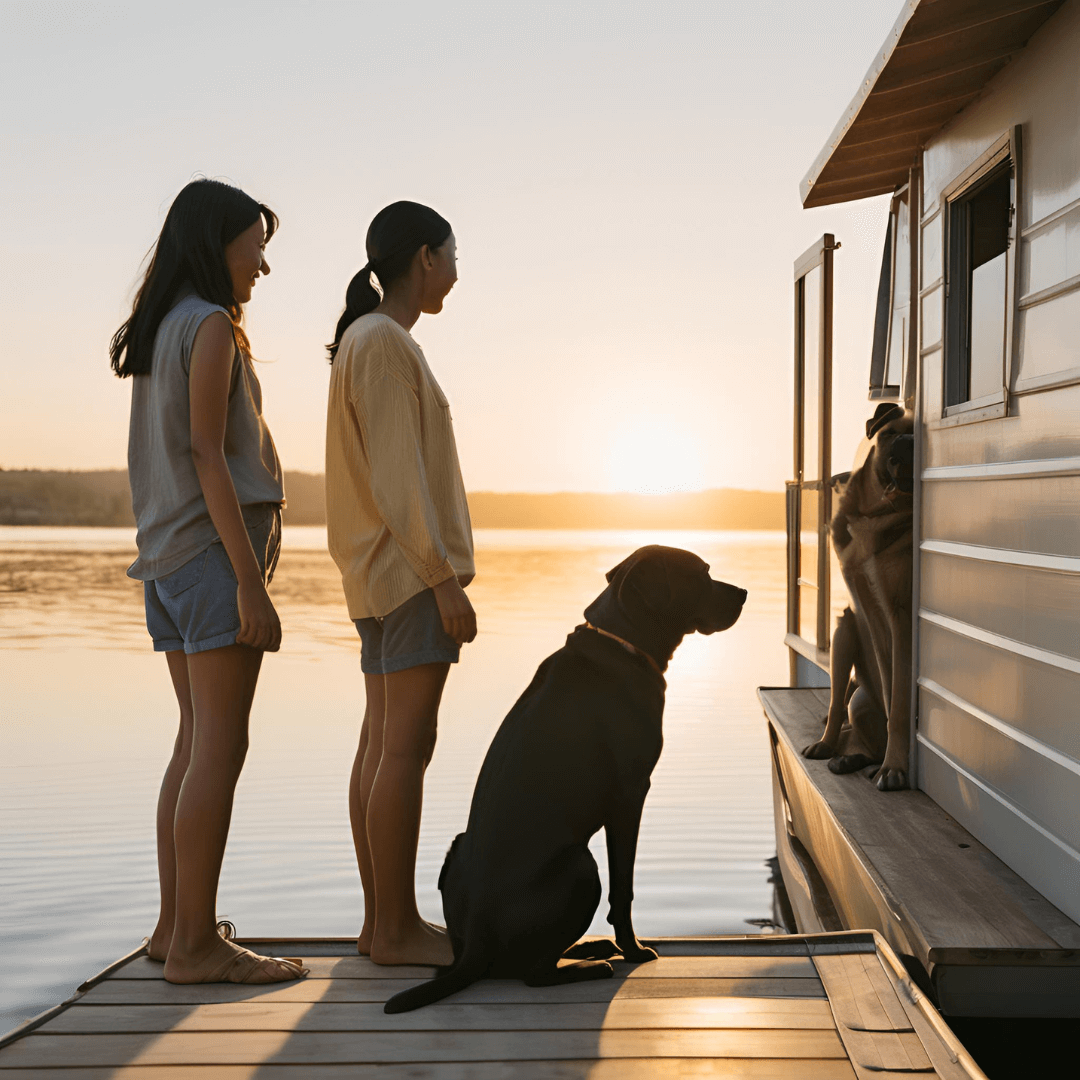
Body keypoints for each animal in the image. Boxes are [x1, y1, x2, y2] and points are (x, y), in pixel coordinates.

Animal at [384, 548, 747, 1010]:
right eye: (701, 574)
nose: (744, 593)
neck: (622, 639)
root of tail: (477, 939)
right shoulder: (630, 796)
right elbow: (623, 888)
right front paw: (634, 949)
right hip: (580, 863)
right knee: (534, 973)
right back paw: (593, 964)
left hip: (459, 845)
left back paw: (588, 948)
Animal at [807, 406, 915, 794]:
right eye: (889, 433)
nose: (906, 442)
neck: (876, 512)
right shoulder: (865, 613)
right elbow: (887, 692)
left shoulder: (899, 617)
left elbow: (898, 705)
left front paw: (894, 768)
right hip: (848, 660)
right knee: (842, 705)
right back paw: (840, 753)